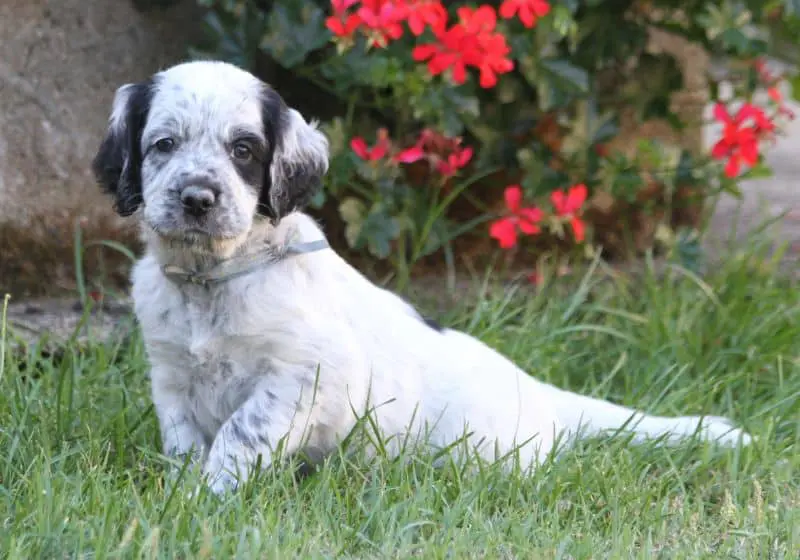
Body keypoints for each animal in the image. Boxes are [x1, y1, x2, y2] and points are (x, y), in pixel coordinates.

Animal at [92, 60, 752, 494]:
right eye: (163, 144)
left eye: (244, 150)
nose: (197, 198)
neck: (214, 277)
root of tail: (545, 397)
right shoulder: (171, 373)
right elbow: (183, 440)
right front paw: (183, 492)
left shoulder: (300, 373)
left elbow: (239, 432)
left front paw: (212, 495)